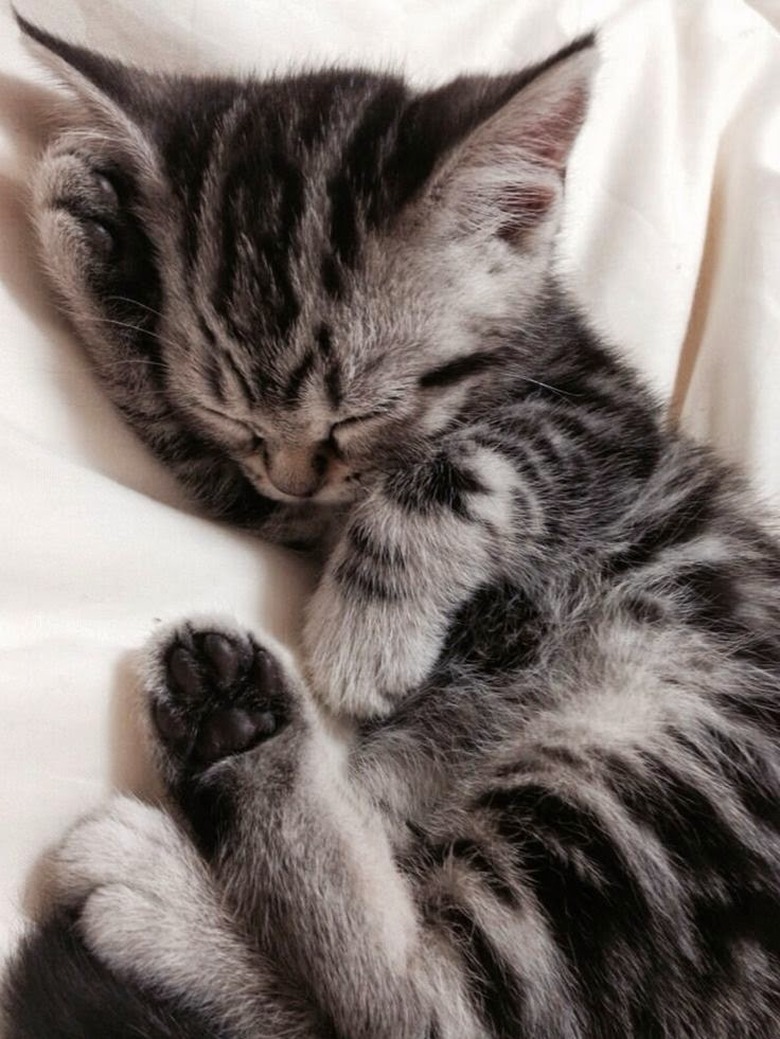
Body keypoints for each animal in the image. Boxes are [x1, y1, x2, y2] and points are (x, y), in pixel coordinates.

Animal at [4, 14, 780, 1039]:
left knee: (435, 1009)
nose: (293, 474)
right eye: (235, 418)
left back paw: (170, 854)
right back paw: (221, 738)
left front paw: (366, 630)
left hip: (664, 758)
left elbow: (469, 465)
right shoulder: (265, 492)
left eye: (358, 415)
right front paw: (90, 235)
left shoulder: (605, 431)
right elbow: (189, 439)